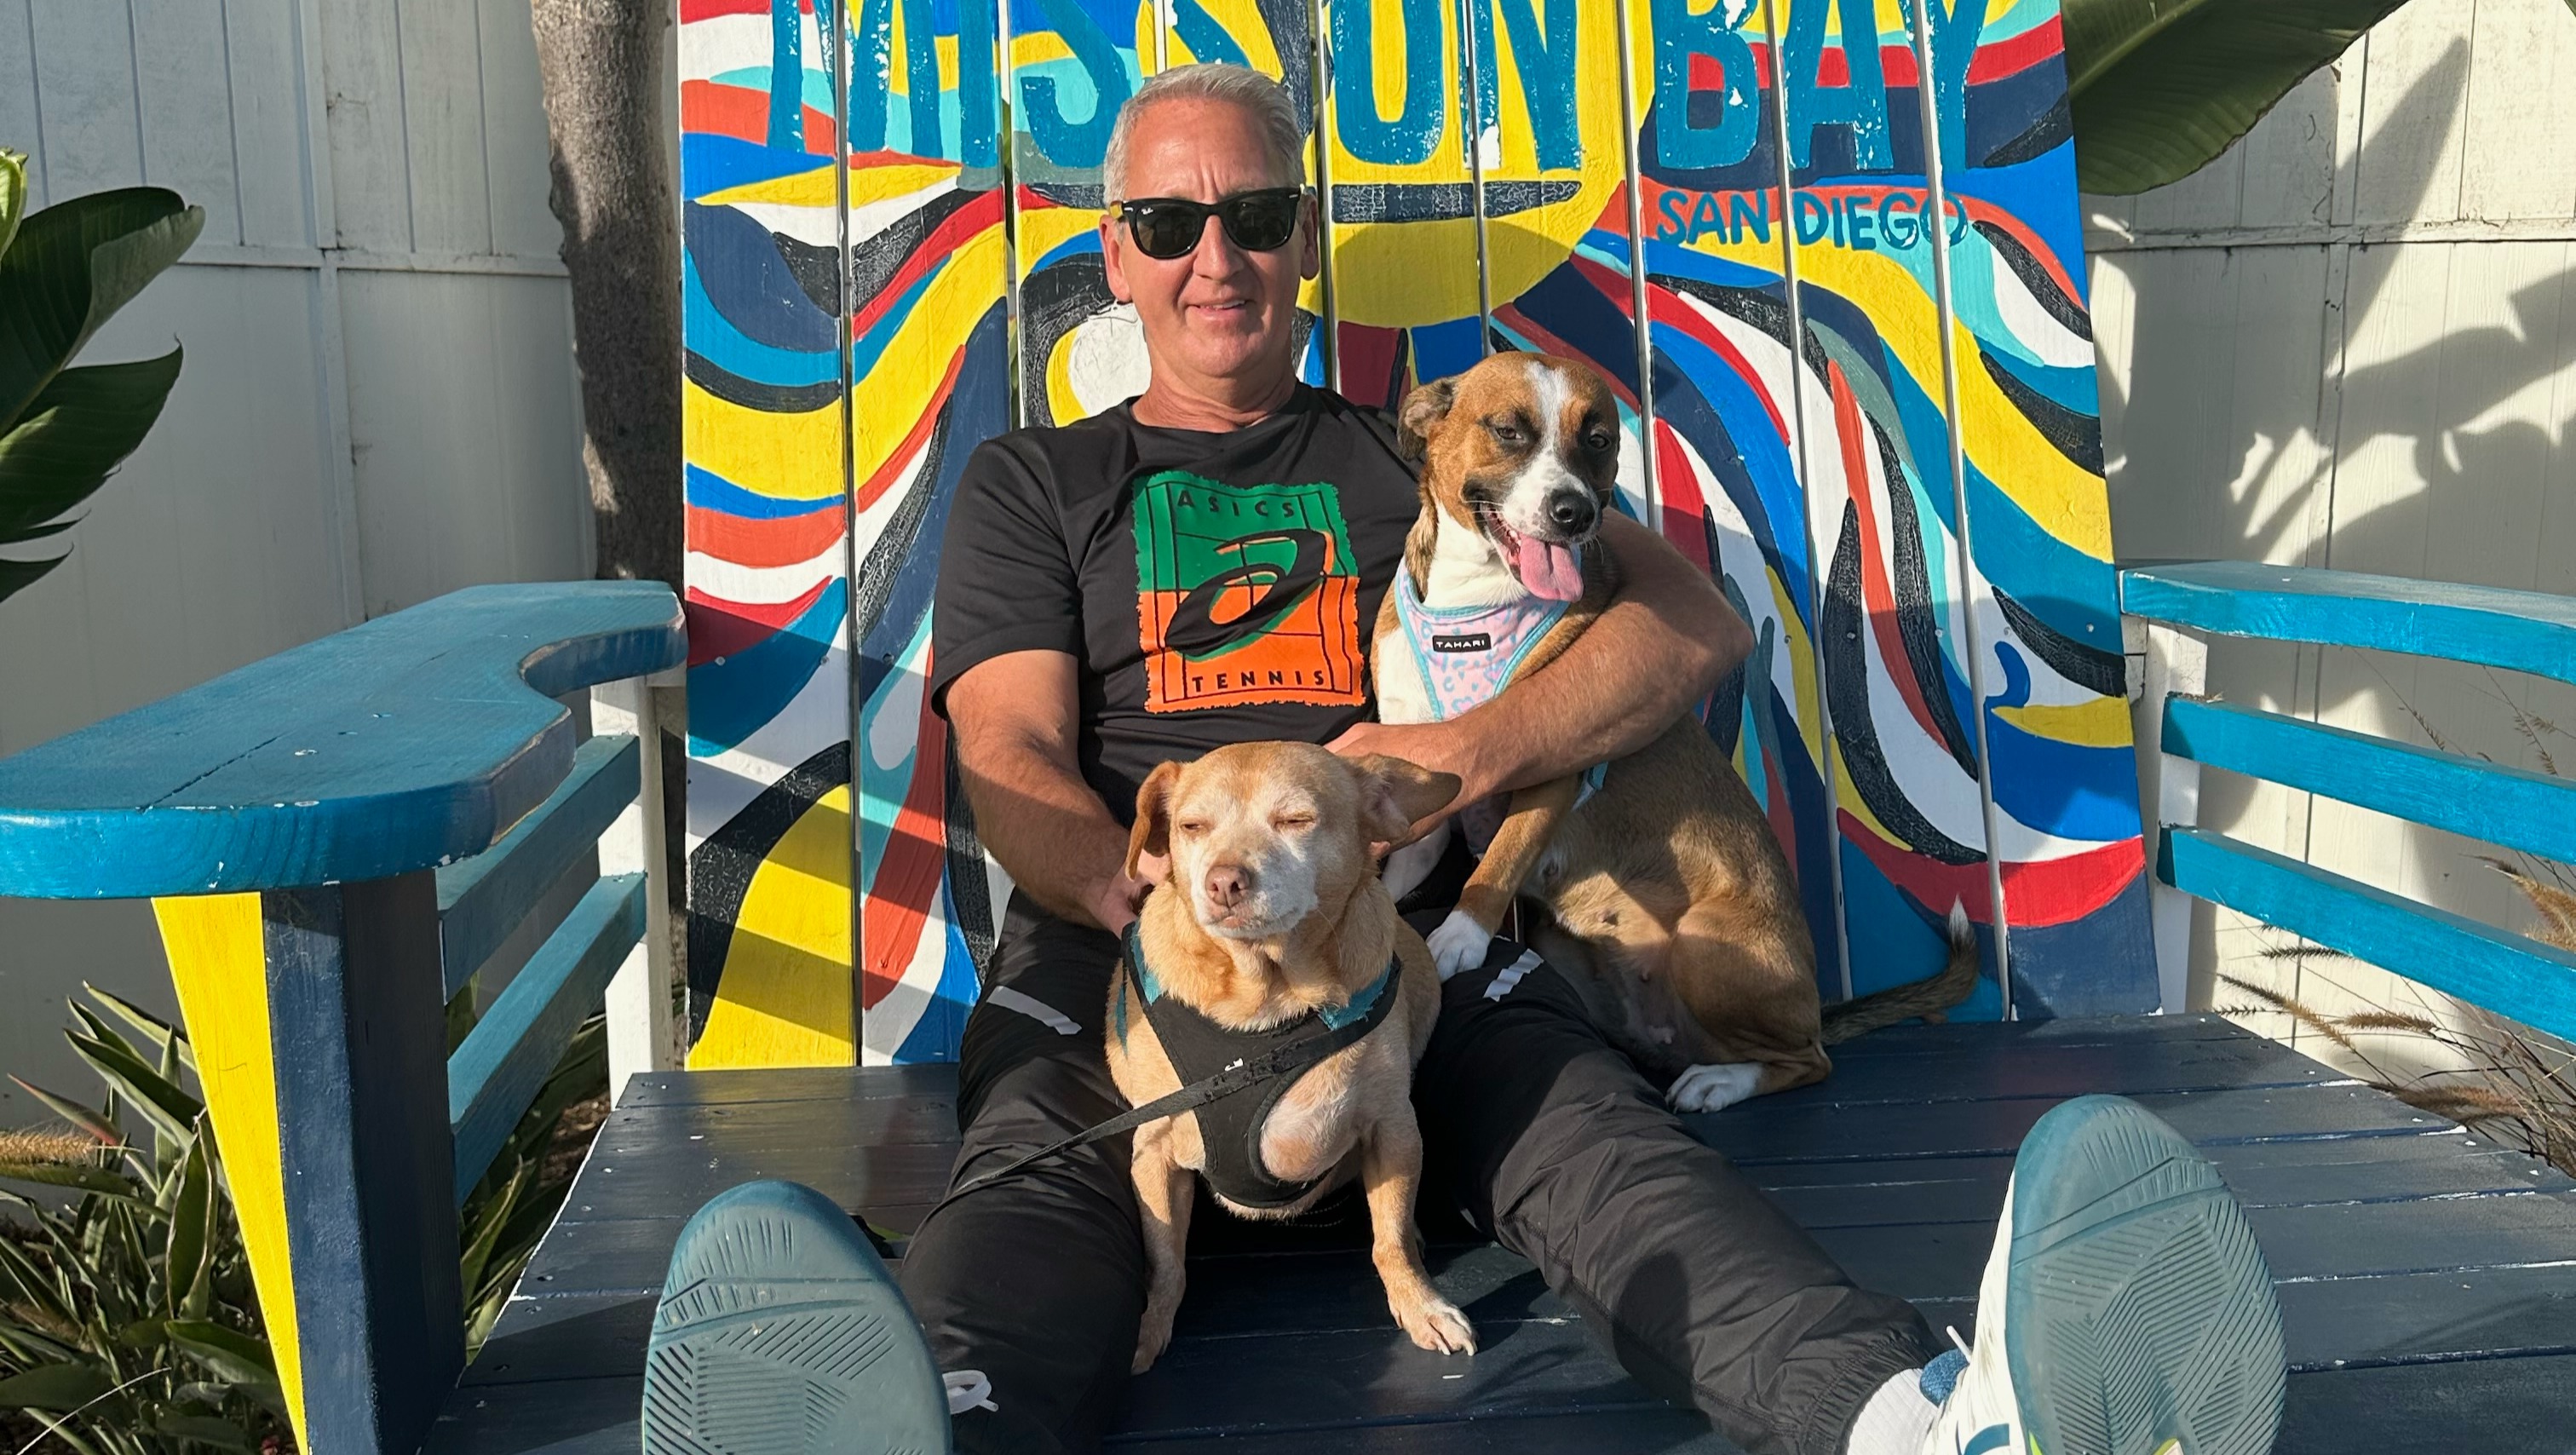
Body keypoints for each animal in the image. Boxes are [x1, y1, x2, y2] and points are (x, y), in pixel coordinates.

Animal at [1107, 741, 1473, 1373]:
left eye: (1297, 820)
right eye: (1191, 827)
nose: (1223, 881)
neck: (1267, 1005)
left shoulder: (1394, 1130)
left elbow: (1391, 1238)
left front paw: (1420, 1303)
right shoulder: (1154, 1154)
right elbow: (1166, 1259)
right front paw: (1151, 1325)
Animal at [1373, 352, 1977, 1113]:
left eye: (1598, 440)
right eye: (1509, 430)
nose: (1575, 512)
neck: (1471, 608)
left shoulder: (1549, 768)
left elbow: (1500, 859)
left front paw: (1459, 936)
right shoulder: (1427, 776)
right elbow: (1404, 863)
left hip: (1706, 952)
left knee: (1808, 1061)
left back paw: (1721, 1081)